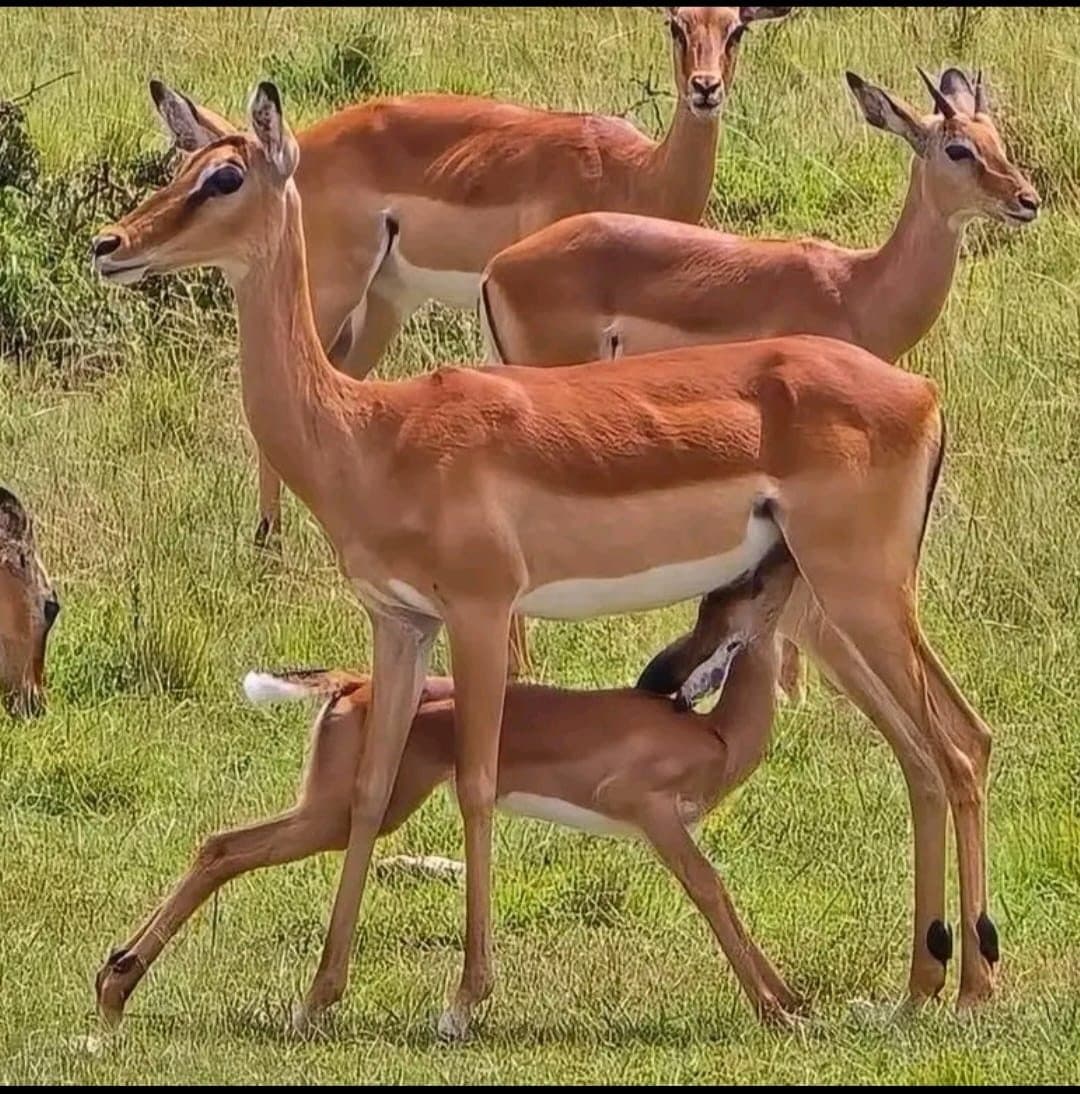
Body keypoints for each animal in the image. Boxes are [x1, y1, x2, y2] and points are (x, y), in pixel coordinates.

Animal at [96, 546, 809, 1031]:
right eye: (748, 582)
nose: (786, 556)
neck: (713, 735)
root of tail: (350, 684)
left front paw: (794, 1000)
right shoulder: (651, 814)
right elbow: (712, 890)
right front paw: (779, 1010)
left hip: (339, 812)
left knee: (220, 845)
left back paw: (115, 981)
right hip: (341, 812)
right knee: (226, 845)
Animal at [146, 6, 792, 549]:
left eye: (736, 27)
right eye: (675, 24)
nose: (705, 89)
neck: (637, 173)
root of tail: (292, 149)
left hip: (384, 305)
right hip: (332, 292)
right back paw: (268, 538)